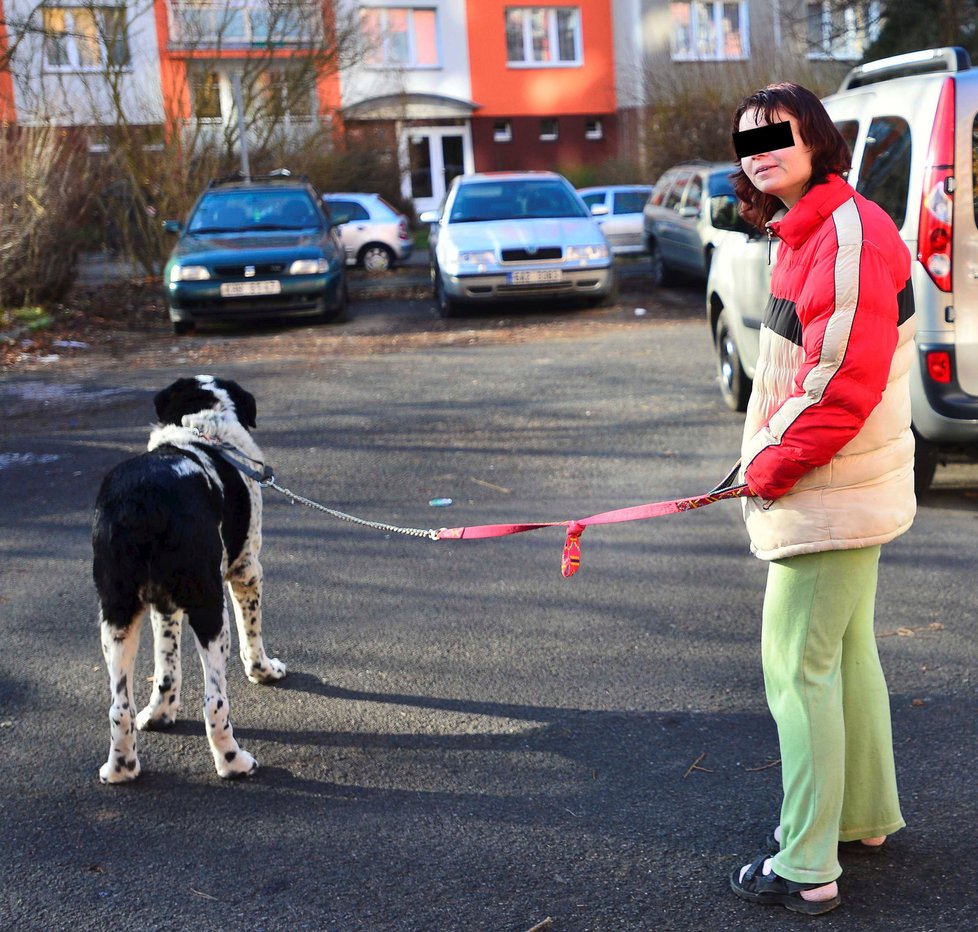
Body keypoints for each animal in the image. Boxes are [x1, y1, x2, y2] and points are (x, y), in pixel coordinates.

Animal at [93, 374, 284, 784]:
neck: (202, 426)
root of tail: (145, 499)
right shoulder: (247, 571)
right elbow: (253, 638)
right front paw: (264, 672)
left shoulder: (162, 606)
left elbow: (166, 670)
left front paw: (161, 715)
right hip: (210, 609)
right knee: (215, 700)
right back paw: (233, 762)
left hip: (117, 615)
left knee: (119, 707)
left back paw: (121, 769)